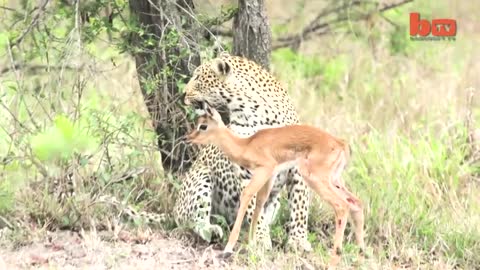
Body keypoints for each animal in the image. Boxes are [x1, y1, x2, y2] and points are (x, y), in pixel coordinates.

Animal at [174, 51, 314, 252]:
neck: (248, 108)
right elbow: (254, 208)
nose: (182, 93)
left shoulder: (297, 166)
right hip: (201, 176)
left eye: (198, 77)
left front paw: (298, 241)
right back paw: (213, 230)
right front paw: (261, 239)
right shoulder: (246, 171)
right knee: (192, 219)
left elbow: (300, 206)